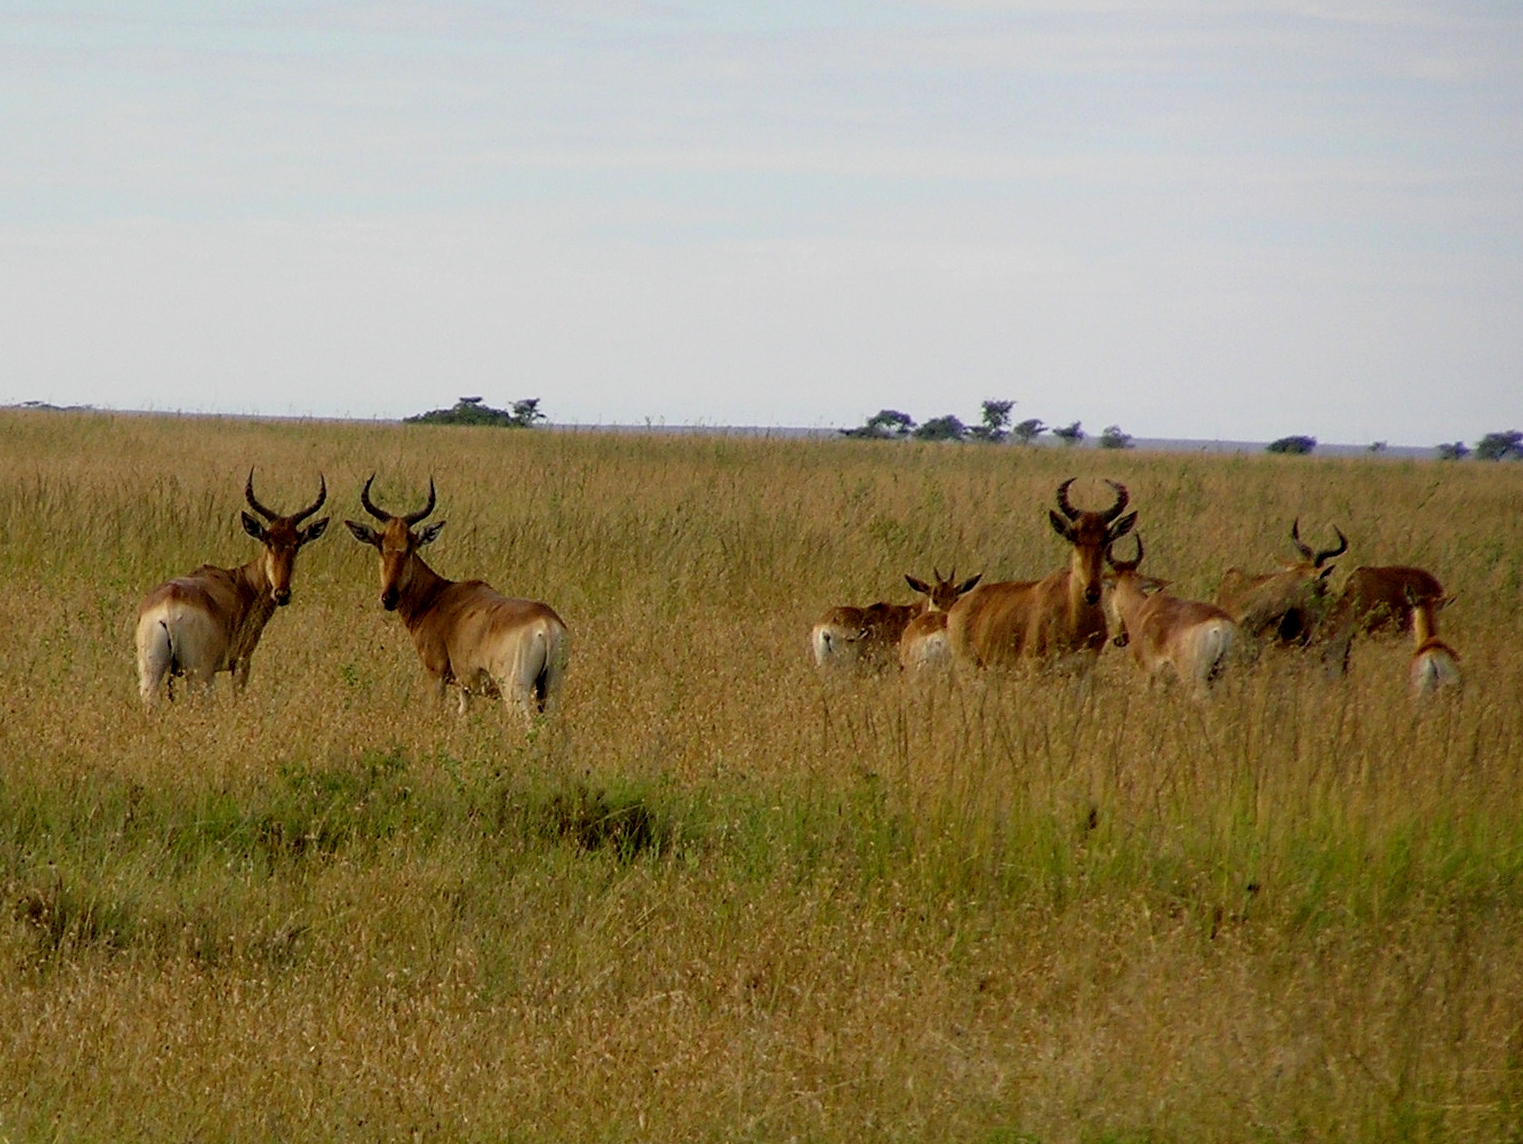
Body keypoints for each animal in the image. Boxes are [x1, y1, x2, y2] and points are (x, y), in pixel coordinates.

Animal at [135, 471, 329, 704]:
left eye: (296, 544)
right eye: (268, 542)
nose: (282, 594)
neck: (241, 581)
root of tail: (170, 604)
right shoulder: (242, 661)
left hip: (150, 671)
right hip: (201, 673)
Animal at [344, 477, 568, 720]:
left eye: (410, 546)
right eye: (380, 545)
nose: (389, 598)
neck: (439, 596)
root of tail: (546, 624)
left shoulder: (436, 673)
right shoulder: (465, 684)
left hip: (514, 689)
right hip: (550, 689)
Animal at [1104, 535, 1238, 696]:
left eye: (1111, 588)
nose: (1119, 639)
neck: (1143, 609)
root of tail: (1220, 624)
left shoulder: (1149, 672)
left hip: (1195, 678)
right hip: (1223, 672)